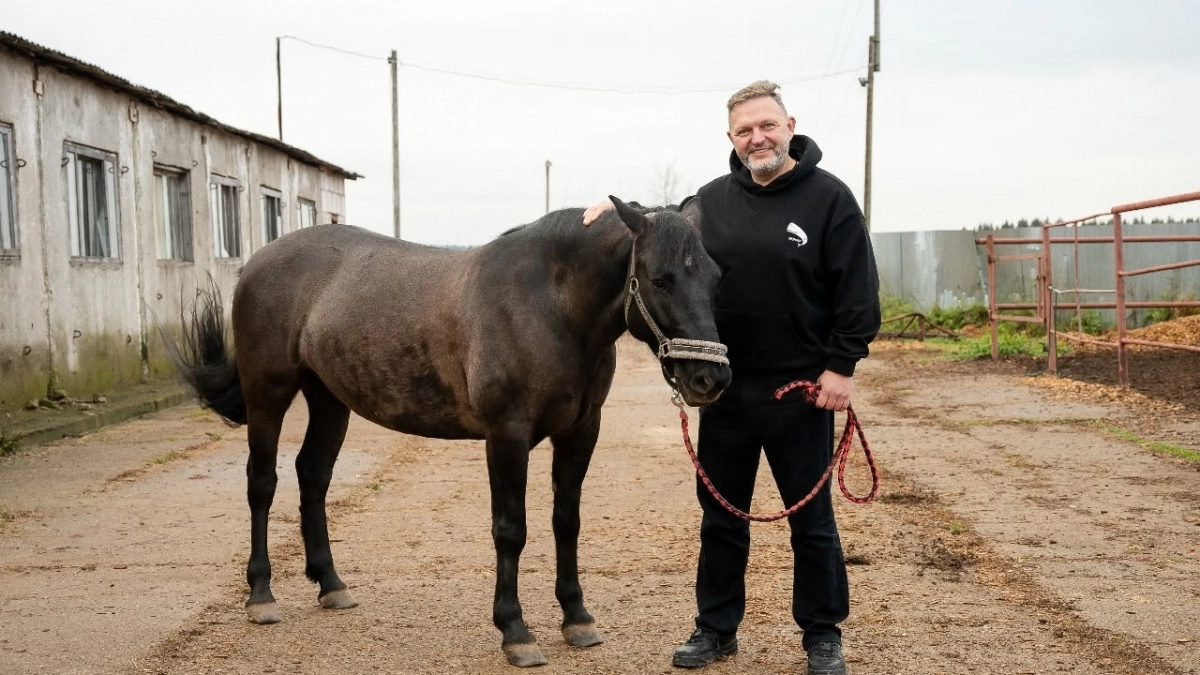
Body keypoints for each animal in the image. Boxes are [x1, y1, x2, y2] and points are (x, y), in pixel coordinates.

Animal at [167, 196, 732, 667]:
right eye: (659, 280)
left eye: (714, 277)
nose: (711, 379)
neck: (549, 304)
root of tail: (257, 261)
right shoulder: (507, 436)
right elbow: (511, 530)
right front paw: (515, 632)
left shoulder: (579, 433)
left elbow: (566, 523)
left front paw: (577, 619)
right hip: (269, 393)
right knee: (263, 484)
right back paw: (261, 595)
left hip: (329, 398)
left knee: (314, 477)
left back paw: (330, 584)